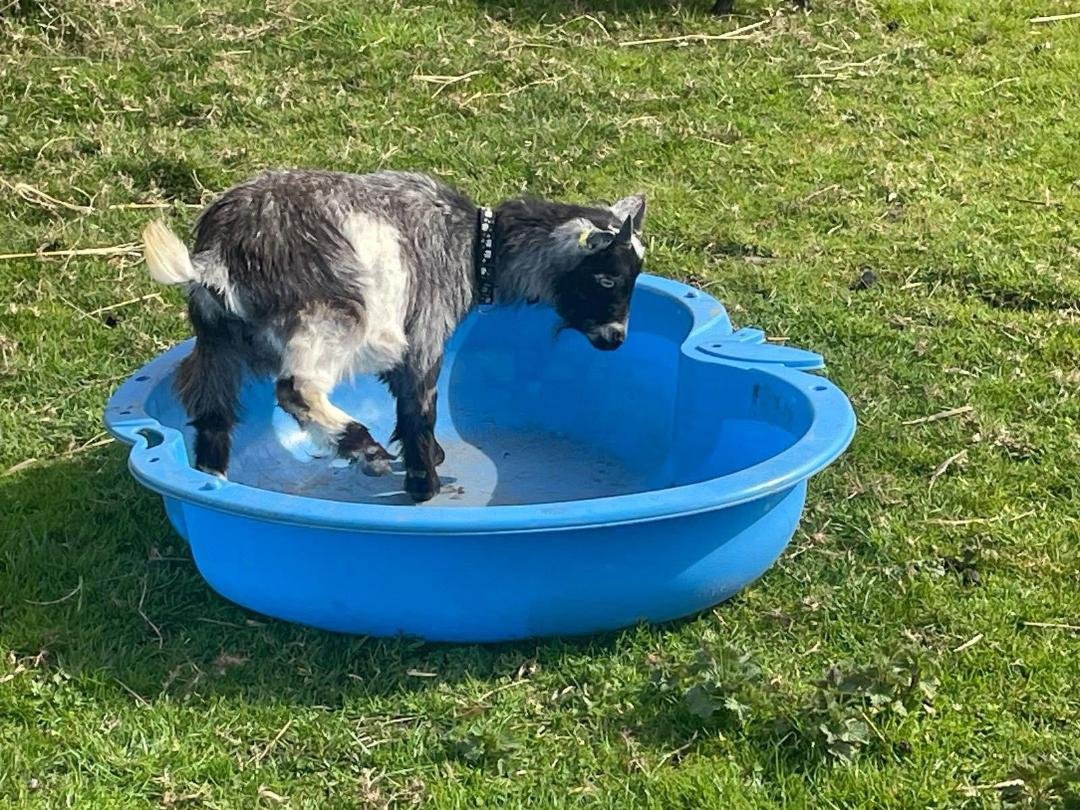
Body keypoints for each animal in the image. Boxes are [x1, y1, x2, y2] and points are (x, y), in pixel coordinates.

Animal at [143, 170, 647, 502]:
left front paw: (432, 459)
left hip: (217, 344)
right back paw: (362, 446)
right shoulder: (425, 332)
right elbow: (420, 406)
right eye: (607, 279)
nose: (616, 338)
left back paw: (213, 479)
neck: (470, 246)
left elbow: (403, 398)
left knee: (212, 414)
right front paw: (424, 484)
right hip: (331, 319)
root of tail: (219, 256)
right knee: (295, 389)